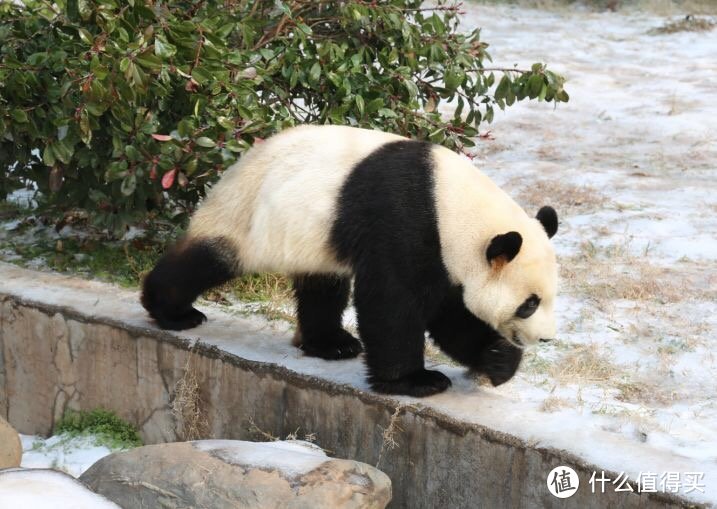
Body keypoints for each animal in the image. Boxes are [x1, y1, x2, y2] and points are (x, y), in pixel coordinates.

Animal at [143, 124, 560, 396]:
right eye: (528, 304)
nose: (545, 337)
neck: (452, 204)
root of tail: (236, 163)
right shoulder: (408, 222)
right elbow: (394, 302)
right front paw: (416, 382)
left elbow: (450, 314)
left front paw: (498, 361)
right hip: (247, 217)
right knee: (206, 260)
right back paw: (171, 311)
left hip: (311, 237)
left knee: (322, 287)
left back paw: (331, 344)